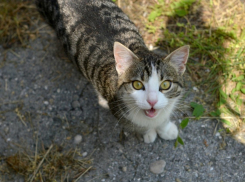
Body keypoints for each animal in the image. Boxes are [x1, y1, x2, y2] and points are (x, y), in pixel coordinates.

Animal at [36, 0, 189, 144]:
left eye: (165, 85)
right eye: (137, 85)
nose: (152, 101)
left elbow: (163, 116)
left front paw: (165, 129)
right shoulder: (118, 110)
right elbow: (138, 125)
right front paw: (148, 132)